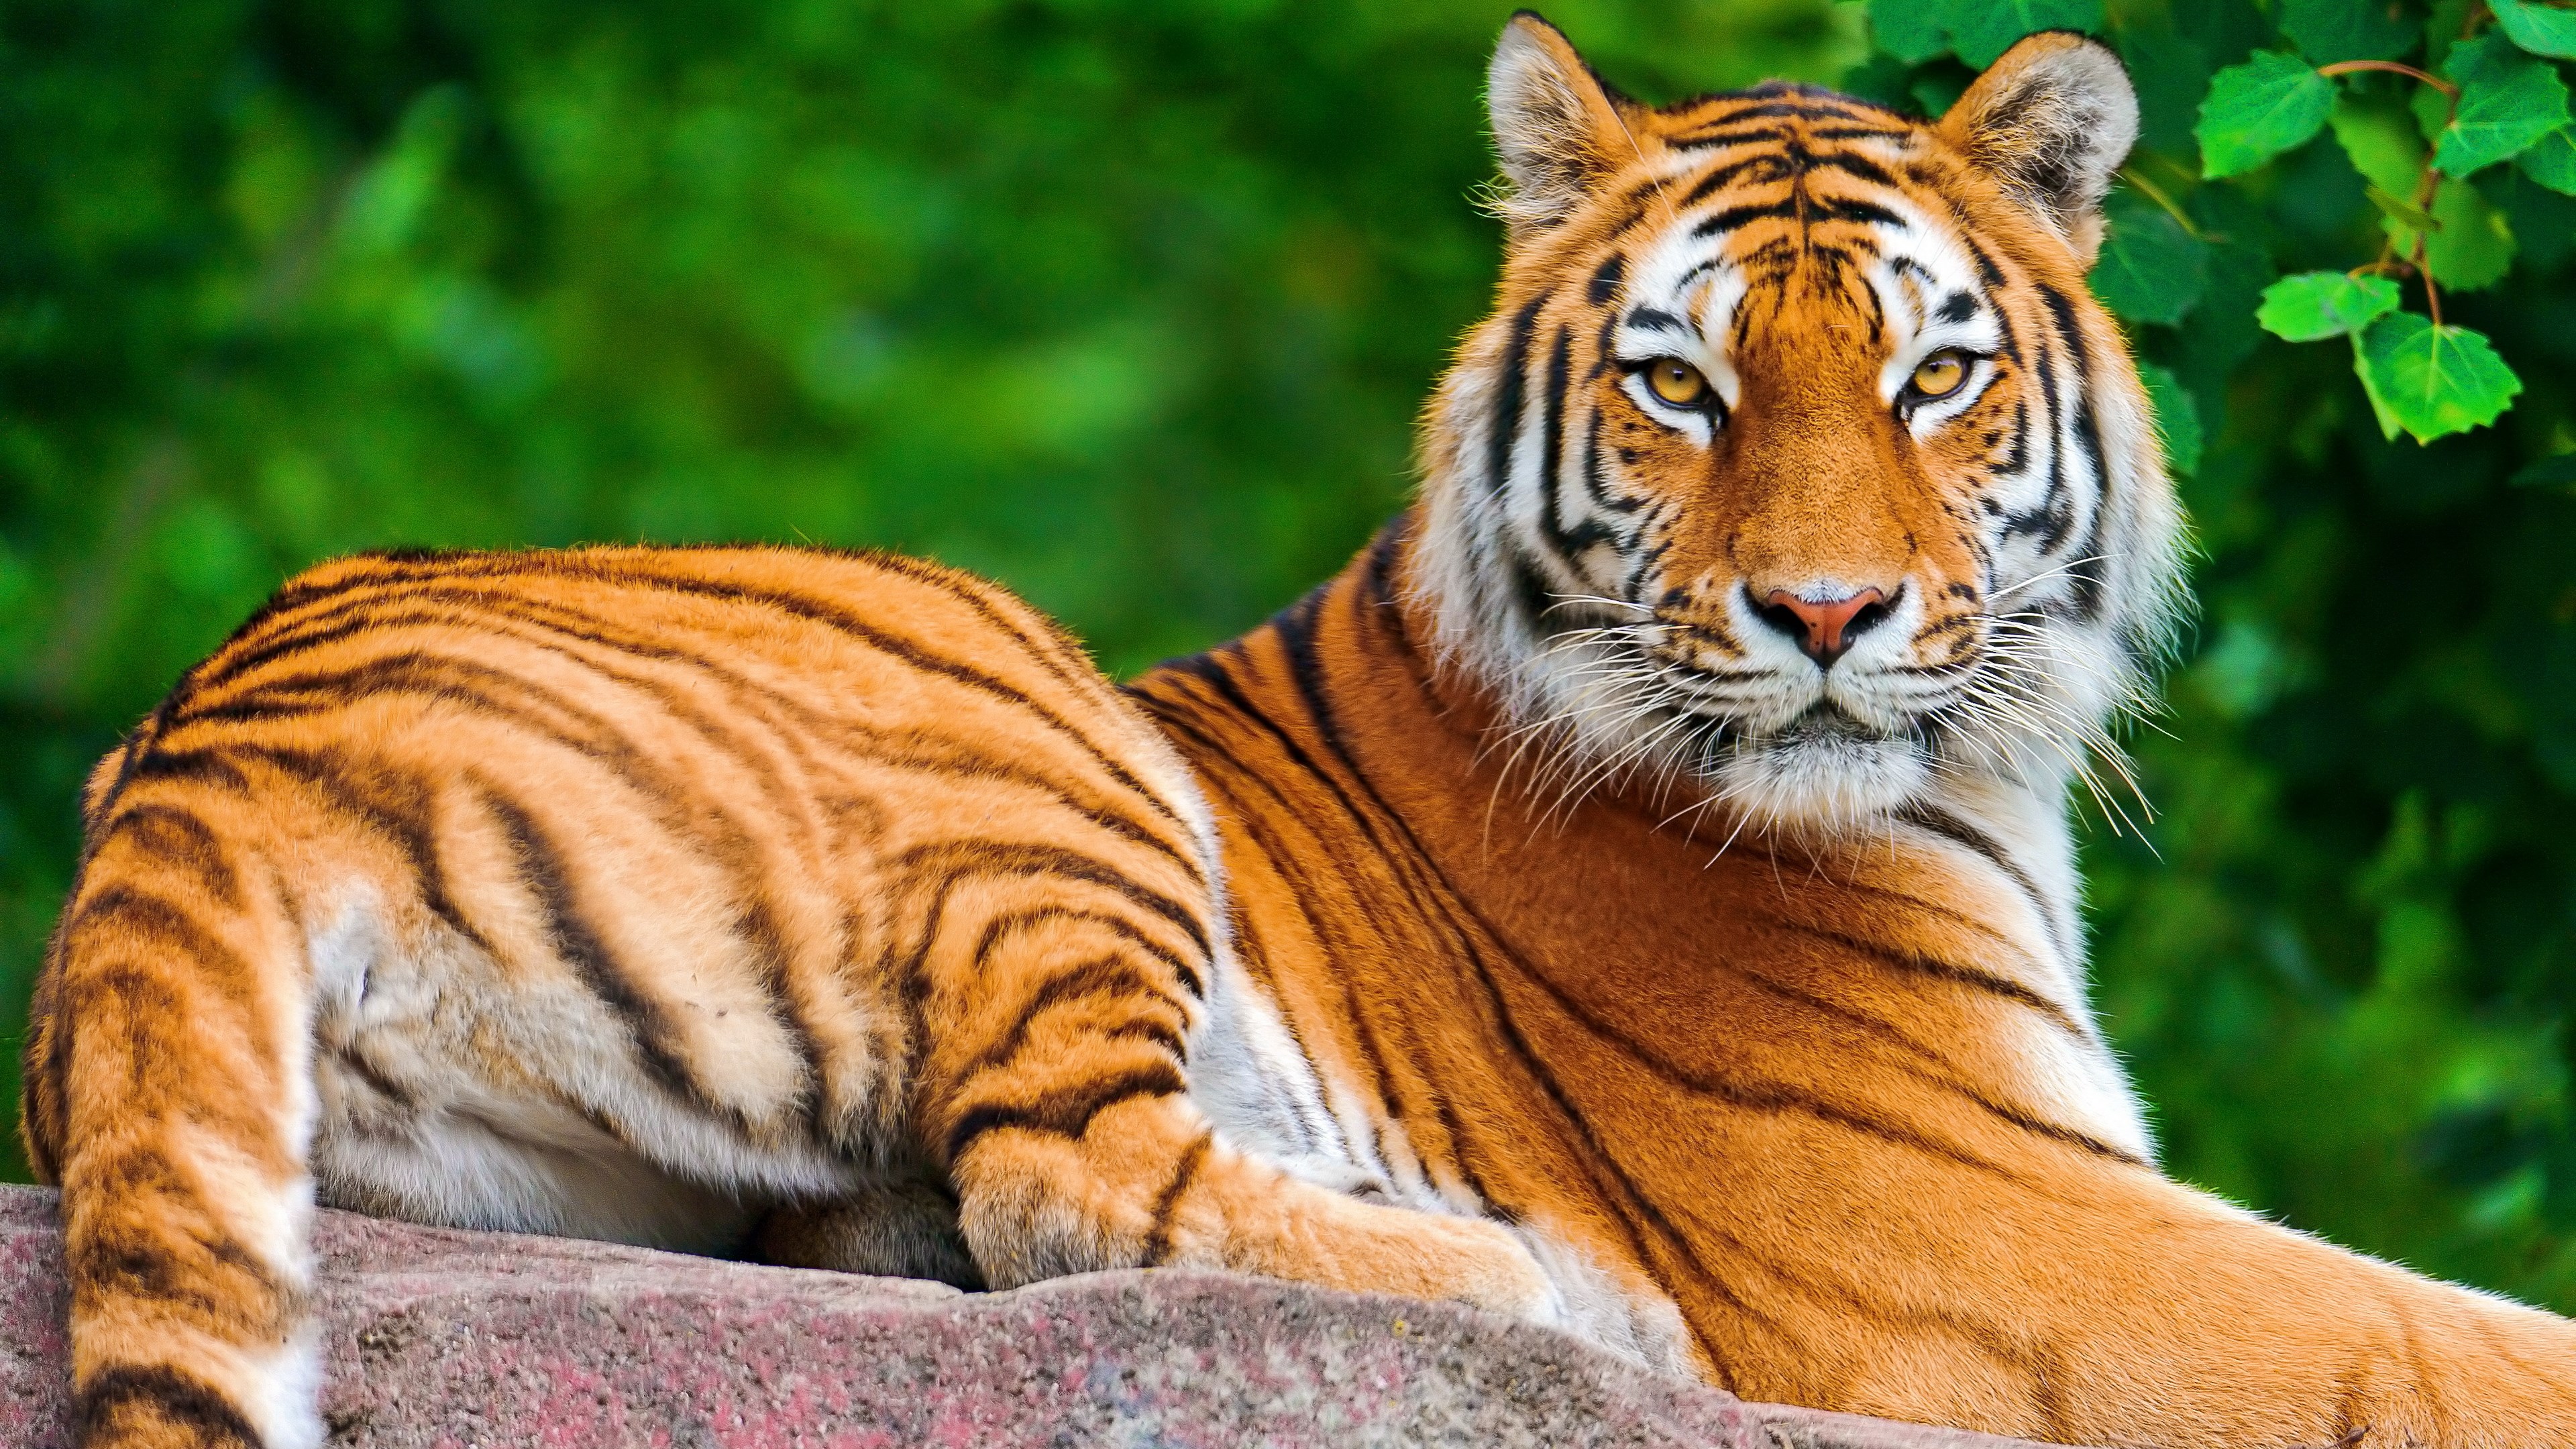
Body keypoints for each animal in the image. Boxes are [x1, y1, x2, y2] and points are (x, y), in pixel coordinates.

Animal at [22, 13, 2576, 1449]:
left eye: (1934, 376)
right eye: (1682, 384)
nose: (1828, 614)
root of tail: (199, 741)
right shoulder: (1983, 1223)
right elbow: (2453, 1351)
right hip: (1023, 715)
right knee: (1060, 1174)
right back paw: (1558, 1303)